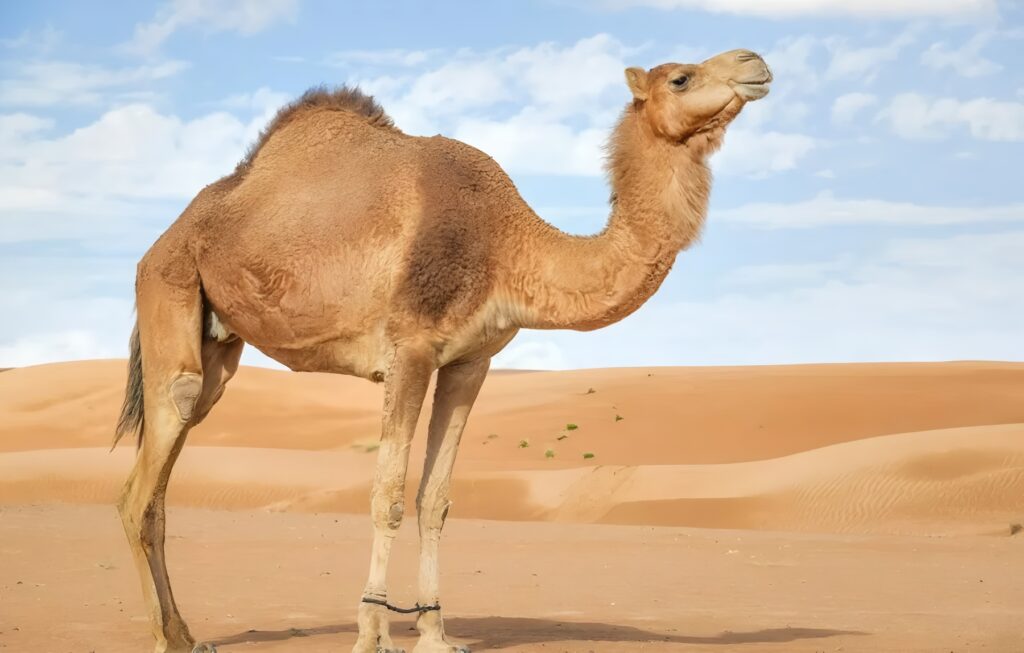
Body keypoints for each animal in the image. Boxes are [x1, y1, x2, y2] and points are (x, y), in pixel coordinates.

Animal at [112, 48, 771, 653]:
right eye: (680, 77)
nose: (755, 63)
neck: (506, 244)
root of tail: (160, 242)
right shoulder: (409, 349)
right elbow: (388, 497)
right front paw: (373, 634)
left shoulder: (469, 362)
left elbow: (435, 501)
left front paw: (434, 633)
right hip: (170, 285)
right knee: (149, 467)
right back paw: (166, 638)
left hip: (218, 343)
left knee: (166, 472)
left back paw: (185, 634)